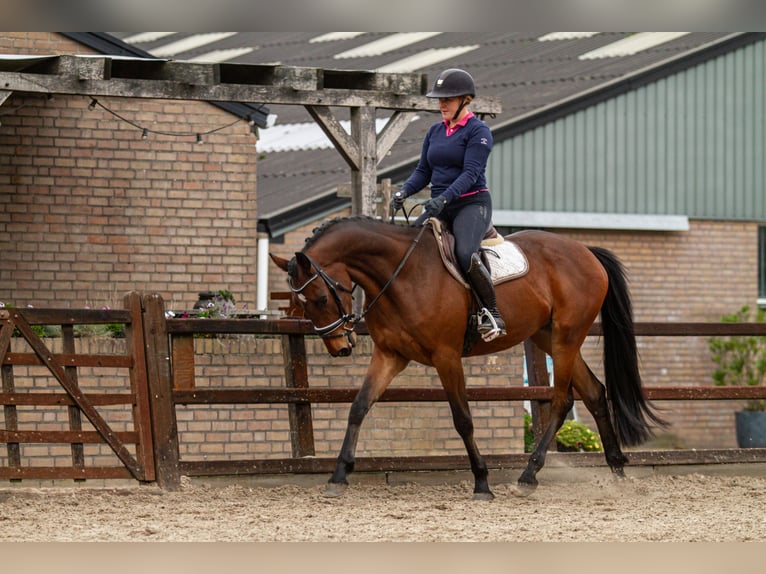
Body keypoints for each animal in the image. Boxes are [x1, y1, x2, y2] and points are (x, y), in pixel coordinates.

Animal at [272, 216, 664, 500]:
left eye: (321, 298)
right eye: (302, 303)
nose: (340, 347)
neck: (401, 273)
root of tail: (585, 251)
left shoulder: (446, 357)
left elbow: (463, 420)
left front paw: (482, 482)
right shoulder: (390, 356)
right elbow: (358, 408)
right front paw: (338, 476)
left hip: (567, 338)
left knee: (560, 401)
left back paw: (528, 476)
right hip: (548, 337)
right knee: (594, 393)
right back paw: (616, 471)